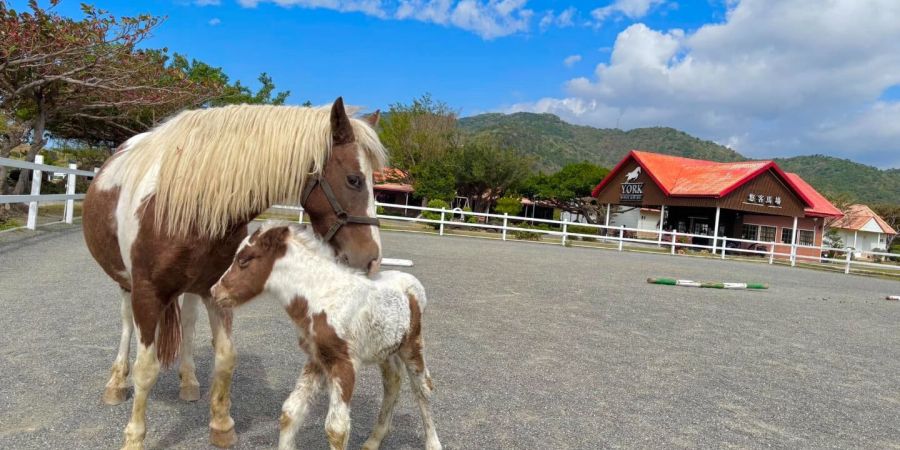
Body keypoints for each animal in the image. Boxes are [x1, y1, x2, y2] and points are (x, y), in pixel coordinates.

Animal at [81, 98, 387, 450]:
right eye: (354, 179)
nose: (372, 259)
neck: (186, 201)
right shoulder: (147, 293)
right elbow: (145, 368)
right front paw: (134, 436)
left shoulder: (218, 290)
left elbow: (226, 359)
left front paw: (222, 424)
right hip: (125, 284)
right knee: (126, 325)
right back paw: (116, 383)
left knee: (188, 323)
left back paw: (189, 380)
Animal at [210, 223, 442, 450]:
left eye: (244, 260)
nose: (215, 291)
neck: (323, 297)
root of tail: (413, 281)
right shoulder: (317, 359)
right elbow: (291, 411)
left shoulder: (344, 363)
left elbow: (336, 429)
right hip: (385, 349)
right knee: (392, 383)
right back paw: (373, 441)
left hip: (412, 345)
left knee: (423, 388)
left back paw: (433, 443)